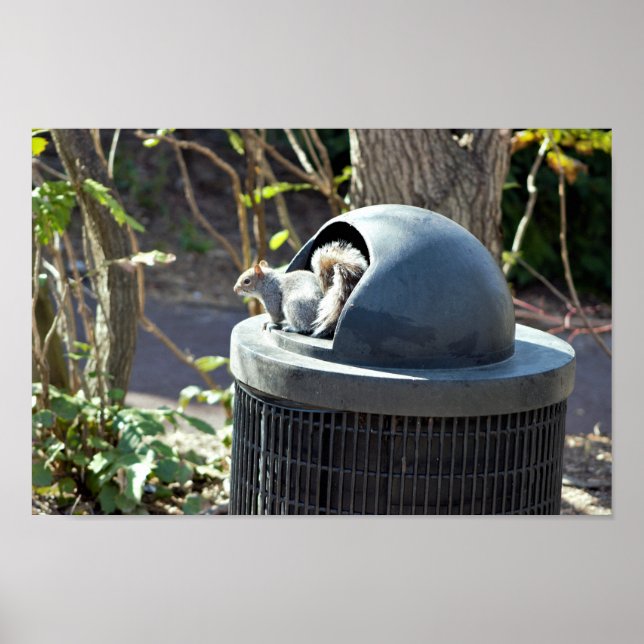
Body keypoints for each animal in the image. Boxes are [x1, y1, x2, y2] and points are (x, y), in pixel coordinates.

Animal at [233, 240, 368, 338]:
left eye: (246, 281)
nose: (235, 289)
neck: (267, 282)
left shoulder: (272, 296)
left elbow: (275, 316)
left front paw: (268, 322)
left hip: (293, 306)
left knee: (305, 327)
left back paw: (291, 327)